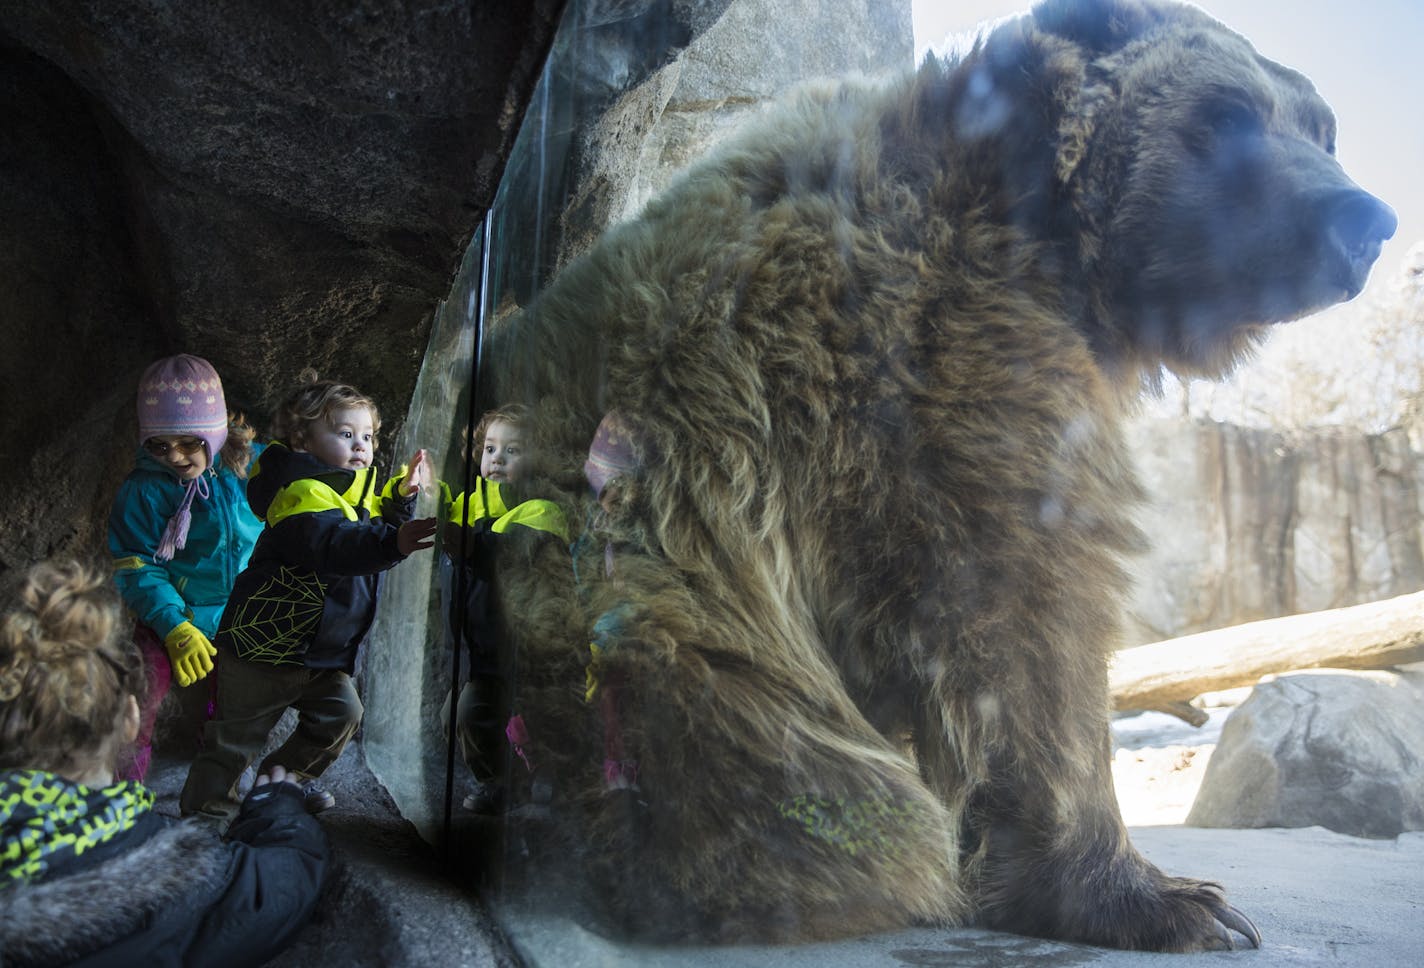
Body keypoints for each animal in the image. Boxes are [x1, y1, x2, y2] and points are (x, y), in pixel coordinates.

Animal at [484, 0, 1395, 950]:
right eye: (1227, 116)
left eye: (1322, 128)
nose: (1364, 219)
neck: (1050, 240)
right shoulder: (942, 360)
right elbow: (1022, 617)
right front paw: (1169, 899)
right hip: (660, 640)